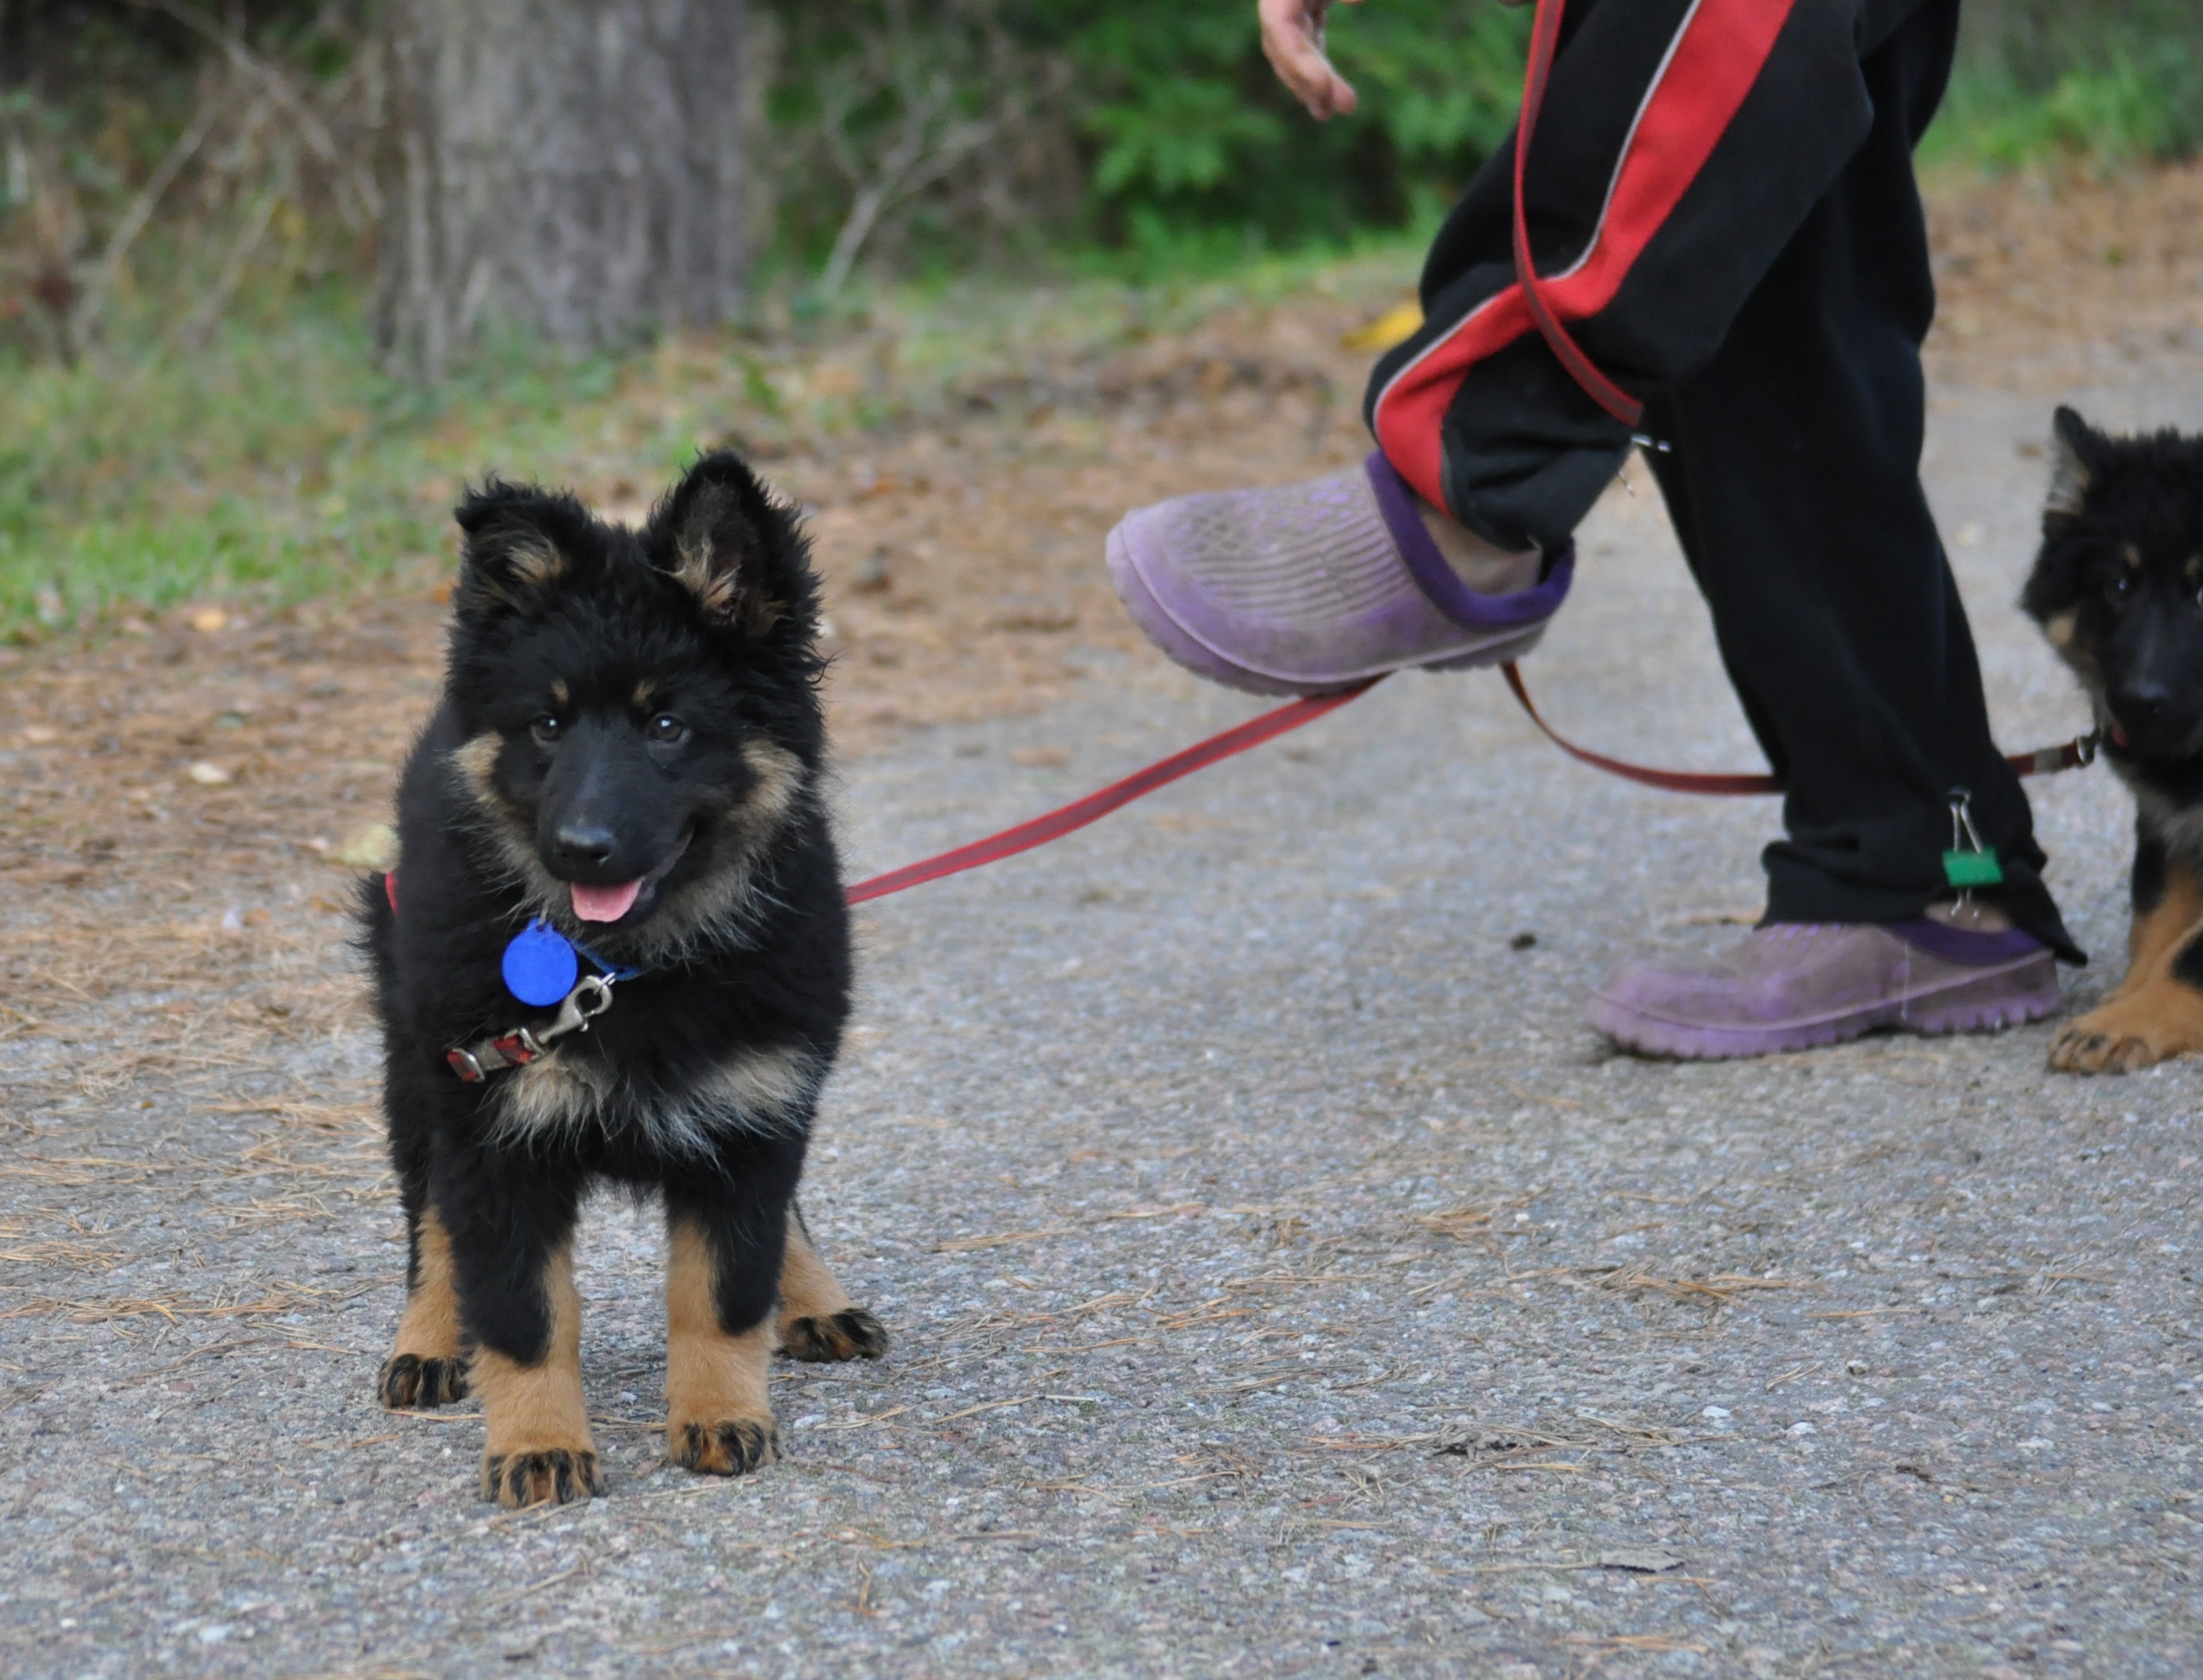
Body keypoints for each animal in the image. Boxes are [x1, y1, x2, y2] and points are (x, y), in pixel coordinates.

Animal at [357, 449, 881, 1515]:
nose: (579, 847)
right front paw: (537, 1442)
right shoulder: (494, 1128)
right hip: (418, 1064)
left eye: (668, 725)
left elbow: (725, 1286)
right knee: (430, 1219)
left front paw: (722, 1413)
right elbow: (521, 1310)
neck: (624, 969)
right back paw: (428, 1338)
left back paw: (814, 1298)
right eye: (549, 725)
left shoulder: (752, 1108)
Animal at [2018, 400, 2203, 1070]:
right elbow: (2156, 918)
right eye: (2118, 587)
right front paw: (2128, 1002)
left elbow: (2190, 951)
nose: (2138, 704)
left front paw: (2129, 1020)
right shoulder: (2169, 820)